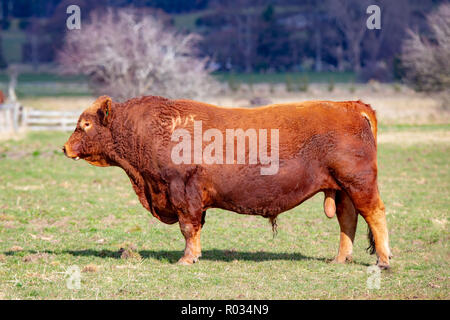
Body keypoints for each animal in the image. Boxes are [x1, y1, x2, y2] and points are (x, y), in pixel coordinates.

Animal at [62, 96, 390, 268]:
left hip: (359, 184)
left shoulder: (184, 193)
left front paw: (188, 259)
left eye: (85, 124)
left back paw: (383, 261)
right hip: (342, 189)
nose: (65, 148)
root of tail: (350, 105)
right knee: (348, 221)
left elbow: (188, 228)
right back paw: (340, 259)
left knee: (375, 214)